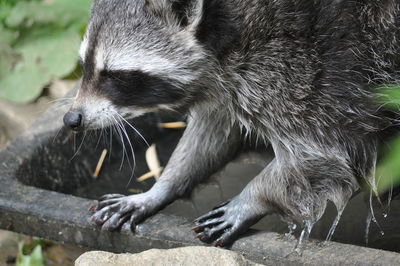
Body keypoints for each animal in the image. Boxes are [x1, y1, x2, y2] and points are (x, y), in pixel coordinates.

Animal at [63, 0, 400, 248]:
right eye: (84, 66)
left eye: (114, 75)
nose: (72, 119)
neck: (229, 27)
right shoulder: (231, 80)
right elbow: (216, 131)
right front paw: (160, 188)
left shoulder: (306, 72)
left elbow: (324, 154)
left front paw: (251, 199)